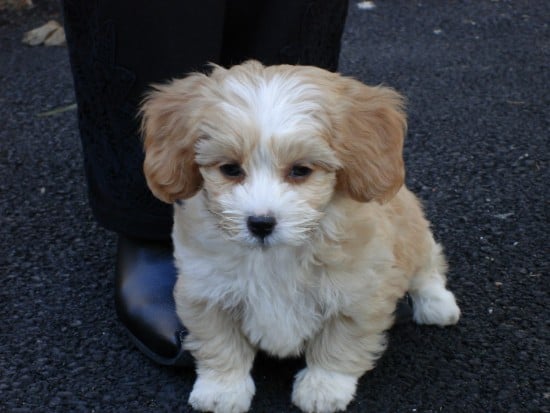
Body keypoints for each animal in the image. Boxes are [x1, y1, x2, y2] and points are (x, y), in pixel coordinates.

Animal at [142, 58, 462, 412]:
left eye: (300, 171)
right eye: (230, 169)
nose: (260, 223)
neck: (276, 254)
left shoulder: (358, 293)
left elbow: (340, 343)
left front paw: (324, 386)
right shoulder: (206, 290)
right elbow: (220, 342)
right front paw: (222, 388)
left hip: (412, 230)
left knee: (428, 265)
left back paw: (436, 303)